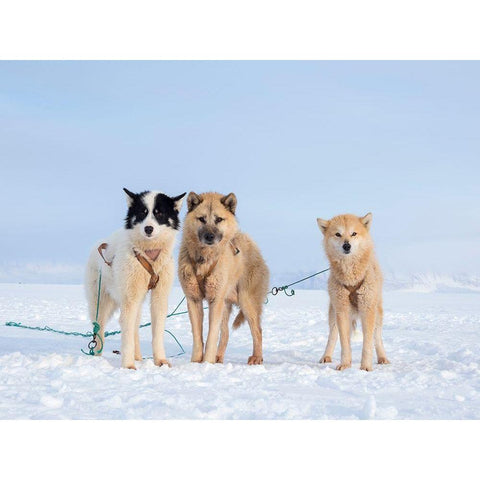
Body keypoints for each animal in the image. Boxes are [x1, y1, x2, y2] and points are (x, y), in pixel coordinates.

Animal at [85, 189, 186, 370]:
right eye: (142, 213)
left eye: (159, 213)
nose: (148, 228)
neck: (149, 254)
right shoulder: (129, 298)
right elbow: (126, 334)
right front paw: (128, 365)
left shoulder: (159, 297)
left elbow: (157, 332)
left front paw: (160, 360)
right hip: (101, 302)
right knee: (100, 328)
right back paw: (98, 356)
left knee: (134, 328)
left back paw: (138, 356)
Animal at [179, 191, 270, 364]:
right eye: (202, 219)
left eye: (219, 219)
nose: (209, 236)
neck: (205, 259)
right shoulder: (194, 300)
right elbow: (198, 336)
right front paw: (196, 362)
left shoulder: (215, 301)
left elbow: (211, 337)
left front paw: (207, 362)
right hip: (225, 304)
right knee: (226, 334)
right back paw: (219, 358)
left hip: (246, 302)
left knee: (258, 331)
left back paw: (256, 357)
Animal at [316, 213, 388, 372]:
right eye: (338, 234)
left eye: (354, 233)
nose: (346, 245)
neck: (350, 277)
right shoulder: (342, 311)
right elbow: (344, 342)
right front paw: (345, 364)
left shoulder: (367, 309)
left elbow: (368, 343)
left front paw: (366, 366)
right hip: (334, 313)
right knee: (332, 336)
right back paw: (326, 356)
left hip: (377, 312)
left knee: (377, 337)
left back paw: (382, 357)